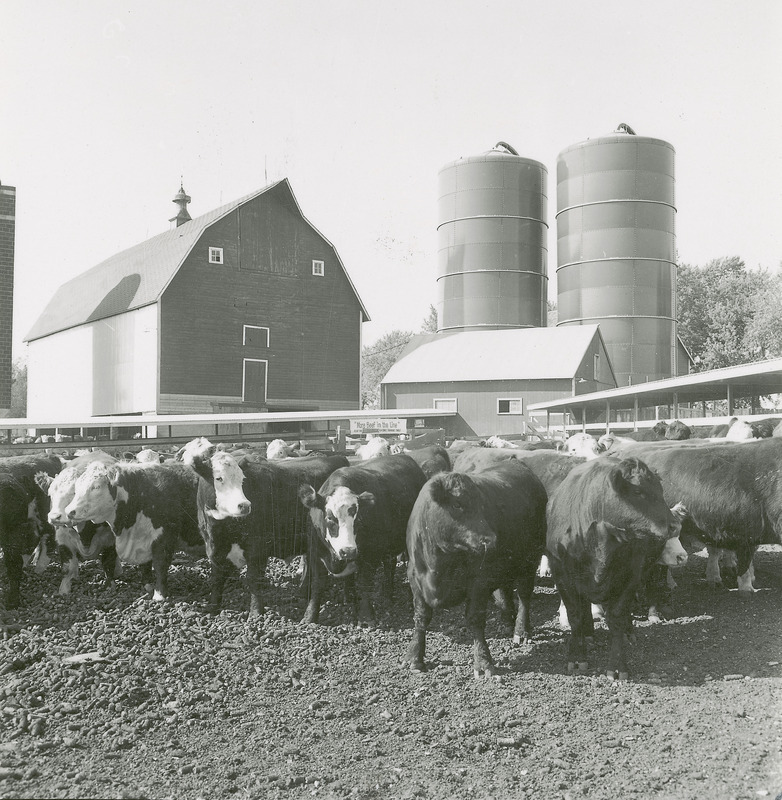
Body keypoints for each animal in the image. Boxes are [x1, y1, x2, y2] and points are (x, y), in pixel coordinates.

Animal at [183, 440, 350, 616]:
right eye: (219, 478)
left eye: (243, 480)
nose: (244, 505)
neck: (223, 528)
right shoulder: (214, 549)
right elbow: (216, 579)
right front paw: (213, 607)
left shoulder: (258, 548)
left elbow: (253, 579)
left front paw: (256, 612)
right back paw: (303, 591)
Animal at [298, 456, 426, 624]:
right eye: (330, 518)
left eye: (358, 520)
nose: (348, 551)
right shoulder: (314, 552)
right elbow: (318, 584)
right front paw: (310, 615)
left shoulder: (370, 554)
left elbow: (365, 583)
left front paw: (366, 616)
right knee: (389, 564)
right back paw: (385, 594)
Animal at [408, 460, 548, 680]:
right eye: (457, 504)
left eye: (482, 506)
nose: (490, 540)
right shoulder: (415, 580)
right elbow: (421, 618)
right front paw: (415, 657)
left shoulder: (479, 583)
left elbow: (475, 620)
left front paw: (483, 662)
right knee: (505, 593)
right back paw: (507, 622)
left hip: (530, 560)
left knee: (524, 596)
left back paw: (521, 630)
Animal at [544, 460, 688, 680]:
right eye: (638, 491)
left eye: (660, 490)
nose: (674, 525)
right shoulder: (562, 576)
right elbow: (575, 615)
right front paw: (576, 657)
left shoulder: (630, 576)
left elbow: (617, 617)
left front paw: (618, 666)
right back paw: (588, 633)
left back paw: (628, 632)